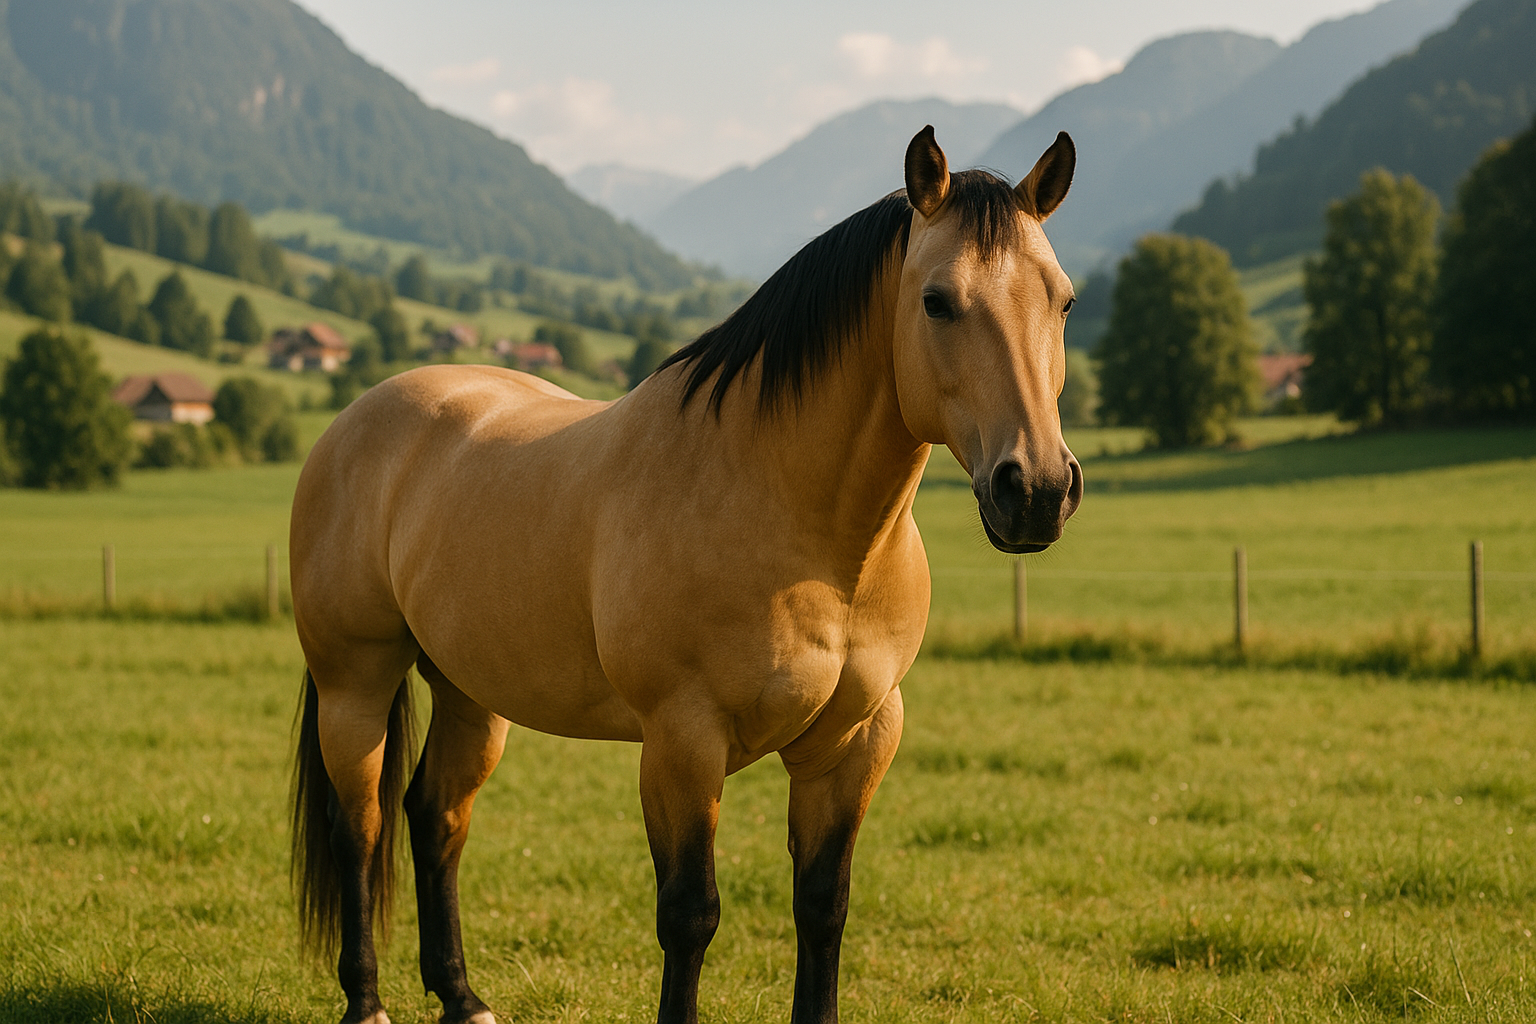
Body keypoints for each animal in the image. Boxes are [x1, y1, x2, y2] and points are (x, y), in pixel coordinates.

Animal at [289, 125, 1082, 1024]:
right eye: (938, 301)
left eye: (1063, 301)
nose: (1037, 490)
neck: (802, 528)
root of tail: (355, 420)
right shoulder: (682, 741)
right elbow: (690, 915)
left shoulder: (854, 743)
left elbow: (823, 906)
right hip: (356, 682)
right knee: (360, 827)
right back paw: (365, 1002)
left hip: (468, 690)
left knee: (435, 818)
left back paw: (463, 998)